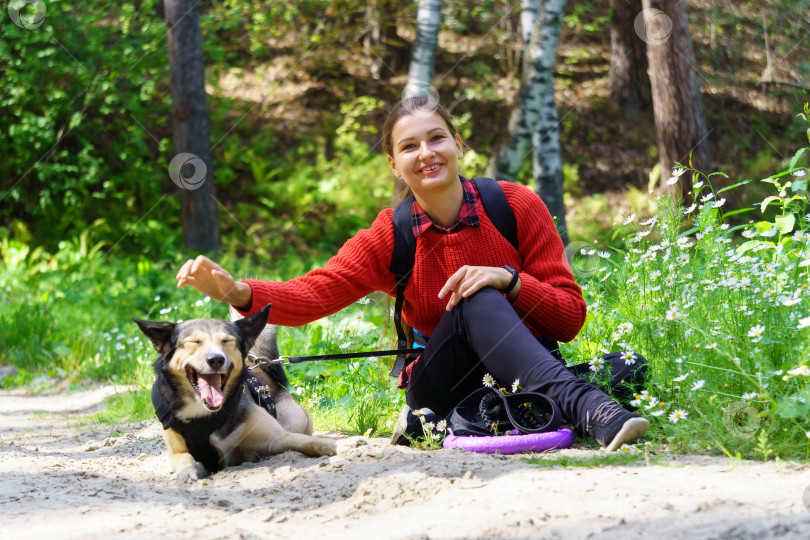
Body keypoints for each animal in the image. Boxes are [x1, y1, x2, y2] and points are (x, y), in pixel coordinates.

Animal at [133, 304, 360, 476]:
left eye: (227, 341)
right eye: (194, 342)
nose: (216, 359)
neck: (206, 415)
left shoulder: (278, 439)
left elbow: (313, 442)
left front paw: (343, 445)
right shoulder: (176, 452)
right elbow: (185, 459)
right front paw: (186, 473)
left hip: (294, 418)